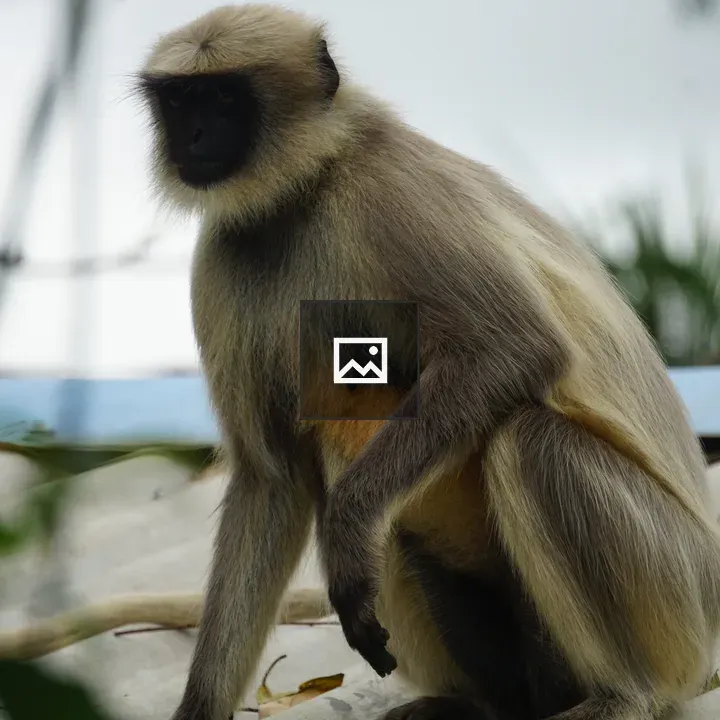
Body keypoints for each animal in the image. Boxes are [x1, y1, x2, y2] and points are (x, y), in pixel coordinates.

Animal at [134, 4, 720, 720]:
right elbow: (272, 478)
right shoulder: (226, 254)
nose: (190, 134)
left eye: (223, 98)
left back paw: (625, 696)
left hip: (677, 593)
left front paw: (347, 530)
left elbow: (516, 347)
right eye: (178, 100)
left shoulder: (391, 191)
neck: (303, 191)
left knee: (531, 442)